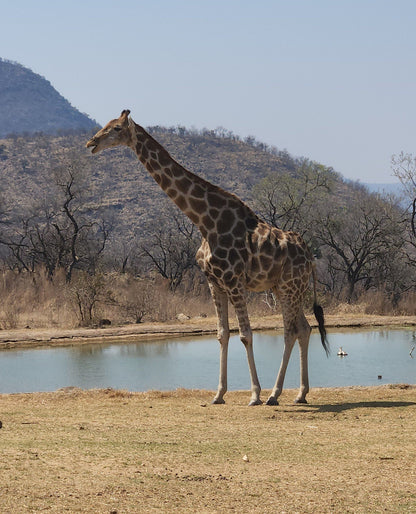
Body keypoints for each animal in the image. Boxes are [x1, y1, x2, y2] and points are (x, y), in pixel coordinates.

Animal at [88, 109, 328, 404]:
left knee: (291, 331)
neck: (205, 221)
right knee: (304, 329)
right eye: (106, 125)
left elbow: (246, 335)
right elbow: (222, 335)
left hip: (290, 285)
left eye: (117, 128)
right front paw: (218, 394)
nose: (91, 143)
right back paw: (300, 393)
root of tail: (310, 257)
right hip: (285, 287)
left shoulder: (234, 281)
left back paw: (274, 394)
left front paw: (254, 395)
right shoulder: (214, 282)